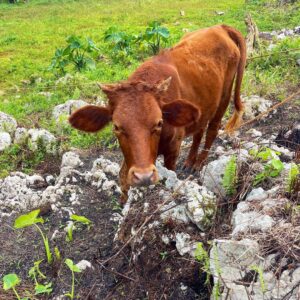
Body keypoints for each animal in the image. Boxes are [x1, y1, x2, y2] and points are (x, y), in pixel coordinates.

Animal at [68, 24, 246, 204]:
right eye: (116, 127)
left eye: (159, 122)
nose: (144, 176)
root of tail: (220, 27)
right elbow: (123, 177)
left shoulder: (173, 150)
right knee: (199, 129)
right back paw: (189, 161)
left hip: (224, 97)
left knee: (212, 130)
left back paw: (198, 163)